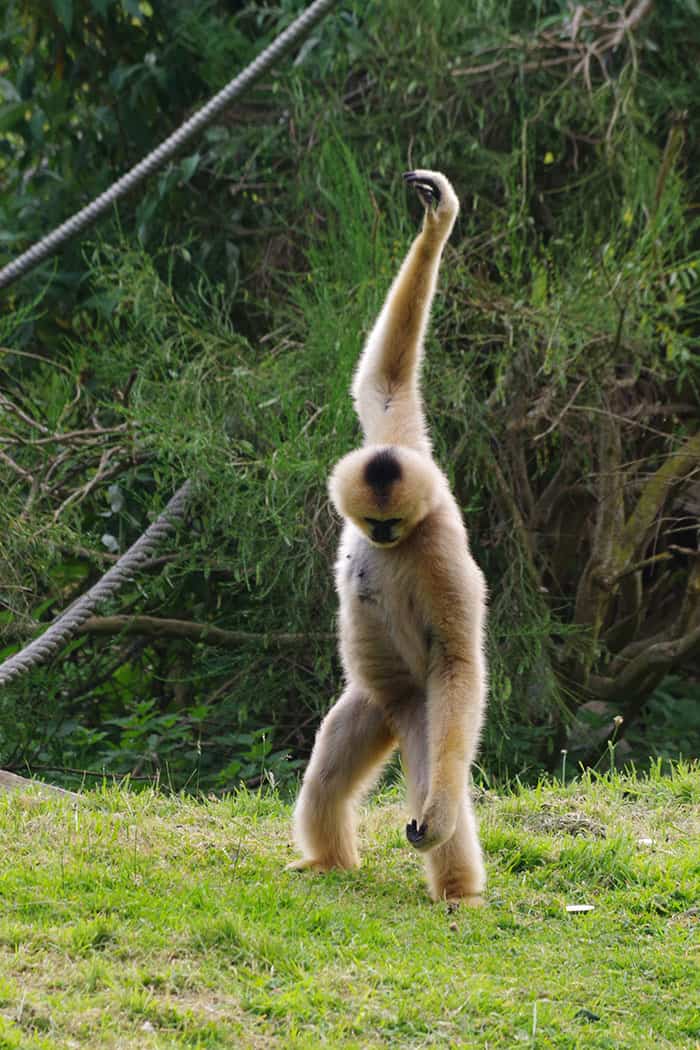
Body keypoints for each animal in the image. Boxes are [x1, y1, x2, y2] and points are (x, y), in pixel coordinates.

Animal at [288, 170, 488, 904]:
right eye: (371, 524)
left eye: (391, 527)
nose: (375, 536)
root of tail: (401, 709)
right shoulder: (399, 441)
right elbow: (386, 380)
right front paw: (436, 222)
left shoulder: (439, 554)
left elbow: (460, 661)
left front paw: (441, 817)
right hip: (372, 703)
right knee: (328, 775)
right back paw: (329, 860)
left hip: (425, 708)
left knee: (437, 761)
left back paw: (459, 890)